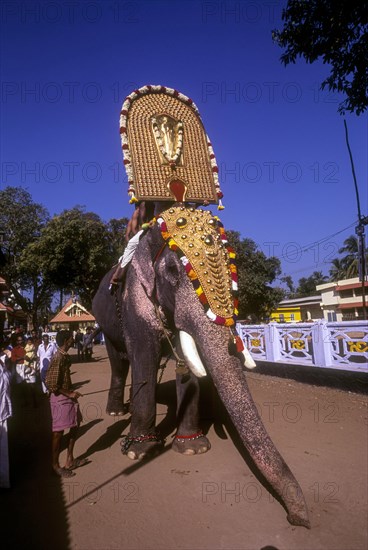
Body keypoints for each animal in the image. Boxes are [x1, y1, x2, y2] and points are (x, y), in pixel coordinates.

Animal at [92, 207, 310, 532]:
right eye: (171, 270)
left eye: (234, 270)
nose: (298, 519)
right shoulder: (135, 298)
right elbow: (144, 354)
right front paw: (139, 452)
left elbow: (187, 360)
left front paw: (193, 448)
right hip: (105, 322)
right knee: (120, 361)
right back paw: (117, 412)